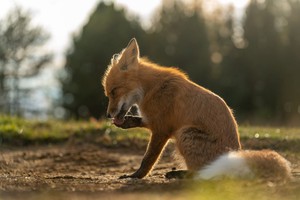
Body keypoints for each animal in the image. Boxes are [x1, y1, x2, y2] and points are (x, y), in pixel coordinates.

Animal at [102, 38, 292, 180]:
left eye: (114, 91)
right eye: (108, 93)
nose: (108, 115)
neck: (152, 89)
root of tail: (234, 154)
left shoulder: (162, 129)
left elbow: (147, 160)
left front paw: (136, 176)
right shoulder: (159, 123)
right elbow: (141, 122)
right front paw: (127, 122)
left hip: (185, 133)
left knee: (204, 174)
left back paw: (181, 175)